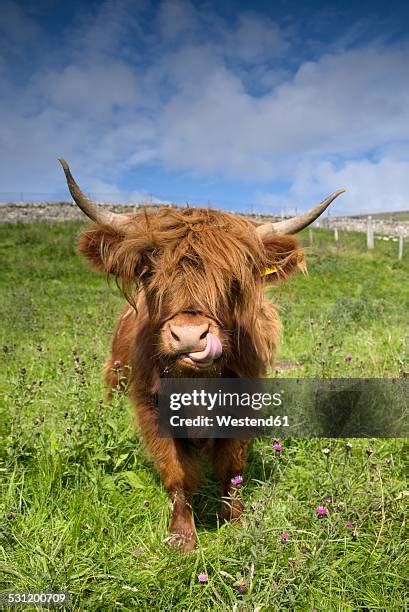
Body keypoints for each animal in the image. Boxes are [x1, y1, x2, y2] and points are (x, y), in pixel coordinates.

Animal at [58, 157, 344, 548]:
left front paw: (235, 523)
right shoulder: (150, 407)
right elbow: (177, 474)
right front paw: (182, 537)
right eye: (149, 272)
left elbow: (231, 468)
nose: (191, 337)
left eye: (234, 280)